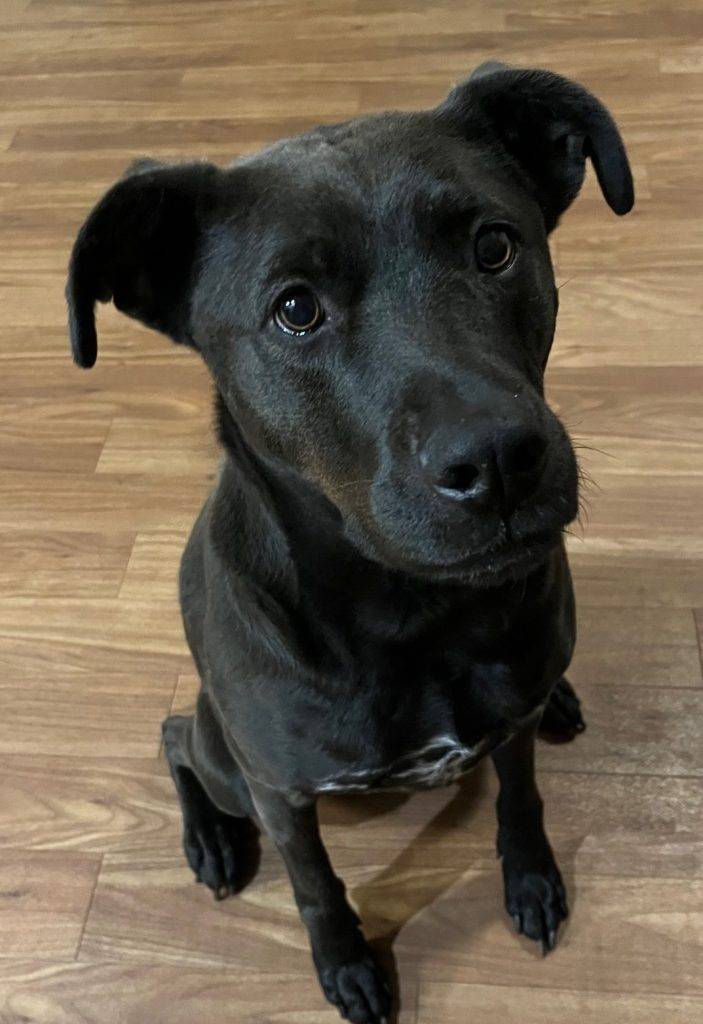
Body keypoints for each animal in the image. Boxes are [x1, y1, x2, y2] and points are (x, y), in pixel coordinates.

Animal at [68, 61, 634, 1024]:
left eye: (494, 246)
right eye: (295, 309)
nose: (496, 460)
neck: (416, 619)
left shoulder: (507, 725)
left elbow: (520, 801)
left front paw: (529, 880)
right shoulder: (282, 793)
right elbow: (314, 886)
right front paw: (347, 964)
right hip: (228, 760)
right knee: (176, 734)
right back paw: (209, 838)